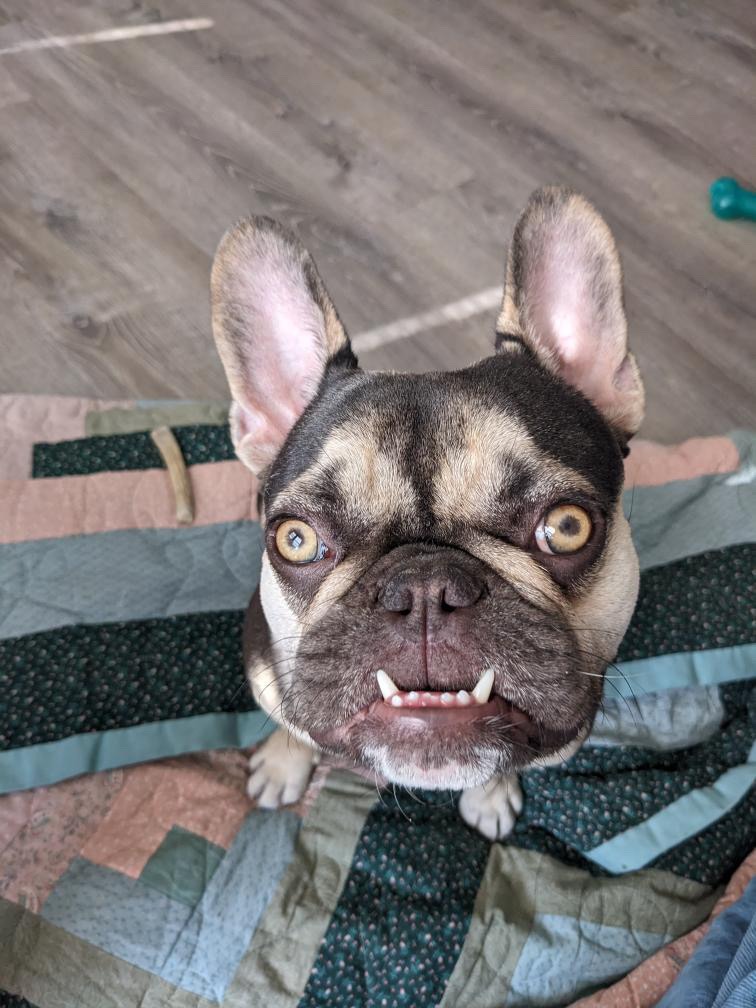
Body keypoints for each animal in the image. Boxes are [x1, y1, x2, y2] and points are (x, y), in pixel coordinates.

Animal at [211, 187, 644, 839]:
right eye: (296, 540)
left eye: (567, 527)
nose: (423, 587)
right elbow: (294, 725)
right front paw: (285, 764)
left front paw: (491, 795)